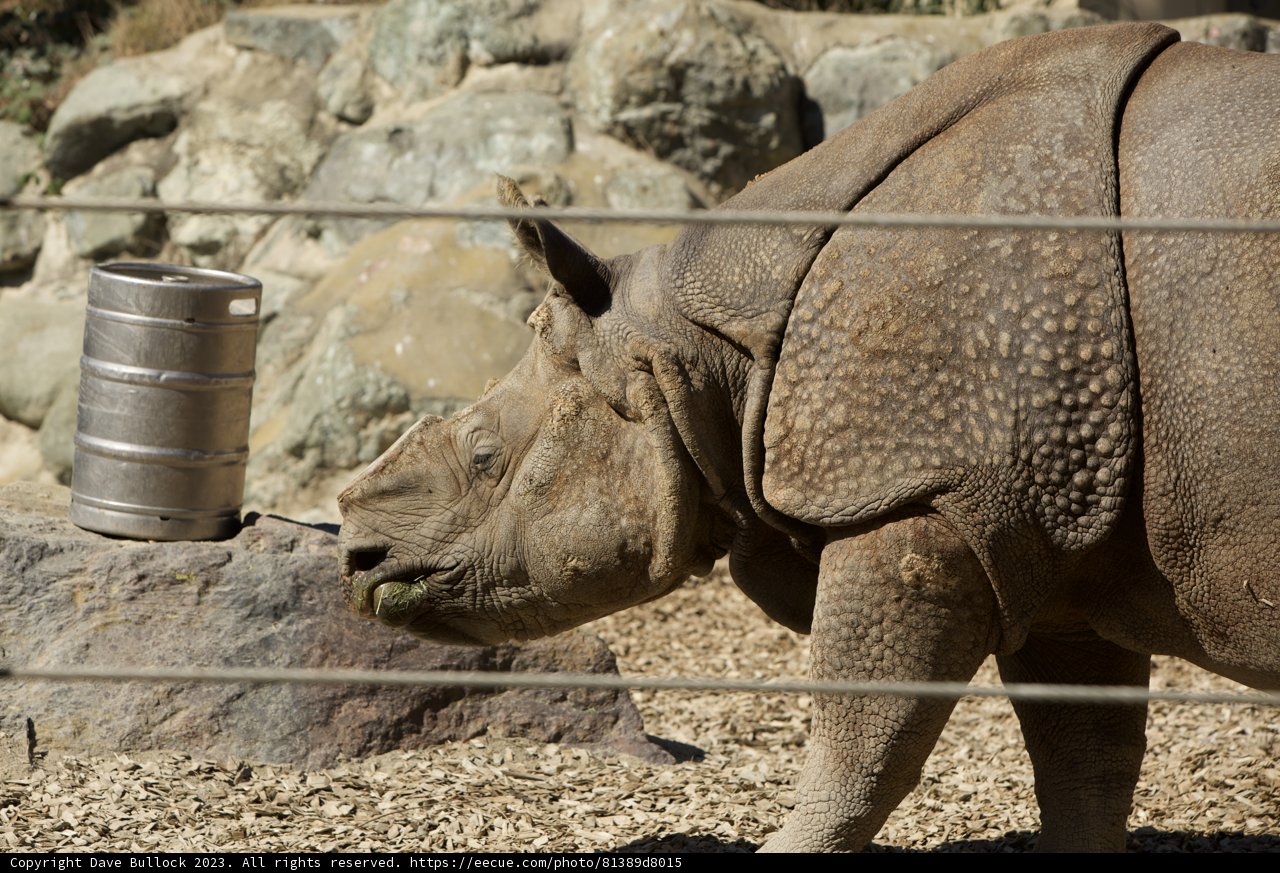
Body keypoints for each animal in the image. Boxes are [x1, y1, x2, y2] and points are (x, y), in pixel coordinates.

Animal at [337, 23, 1280, 851]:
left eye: (485, 456)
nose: (355, 557)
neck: (697, 351)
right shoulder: (1051, 526)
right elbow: (1084, 756)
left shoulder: (924, 493)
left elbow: (863, 739)